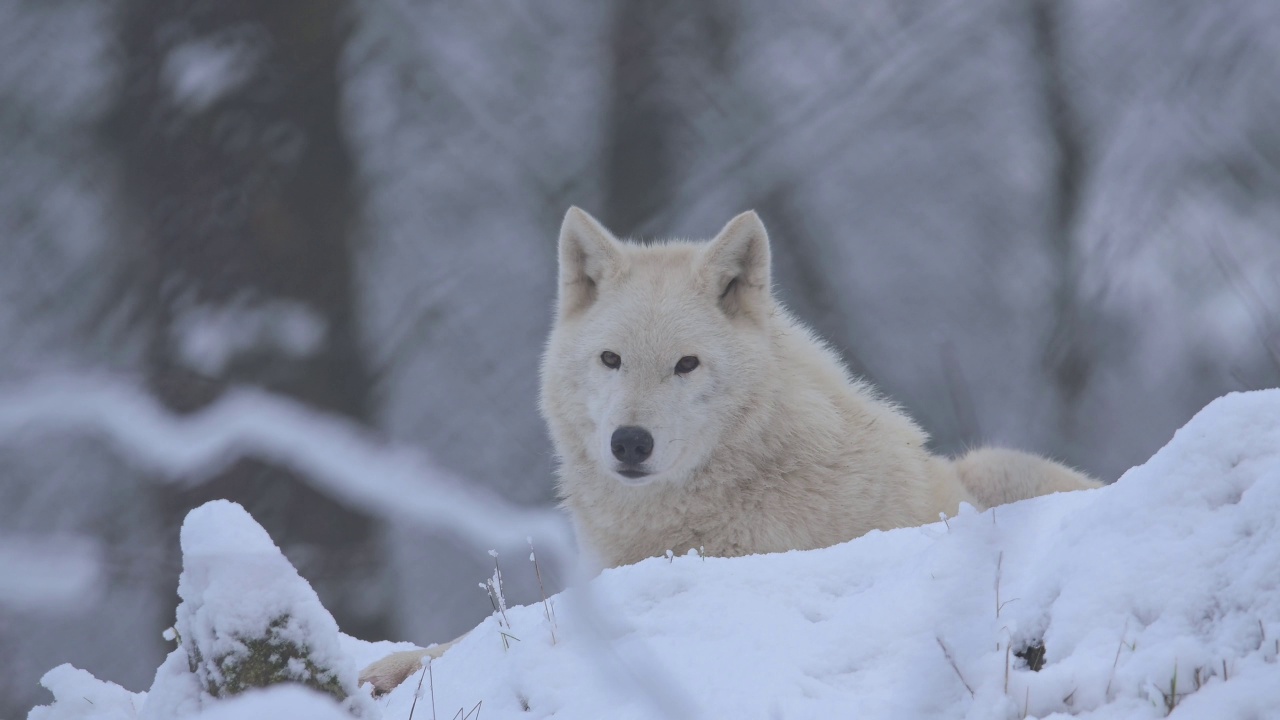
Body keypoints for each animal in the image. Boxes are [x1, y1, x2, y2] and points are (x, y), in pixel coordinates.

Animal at [360, 206, 1100, 691]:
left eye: (686, 364)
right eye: (610, 359)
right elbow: (469, 633)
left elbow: (495, 627)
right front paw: (389, 665)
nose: (630, 442)